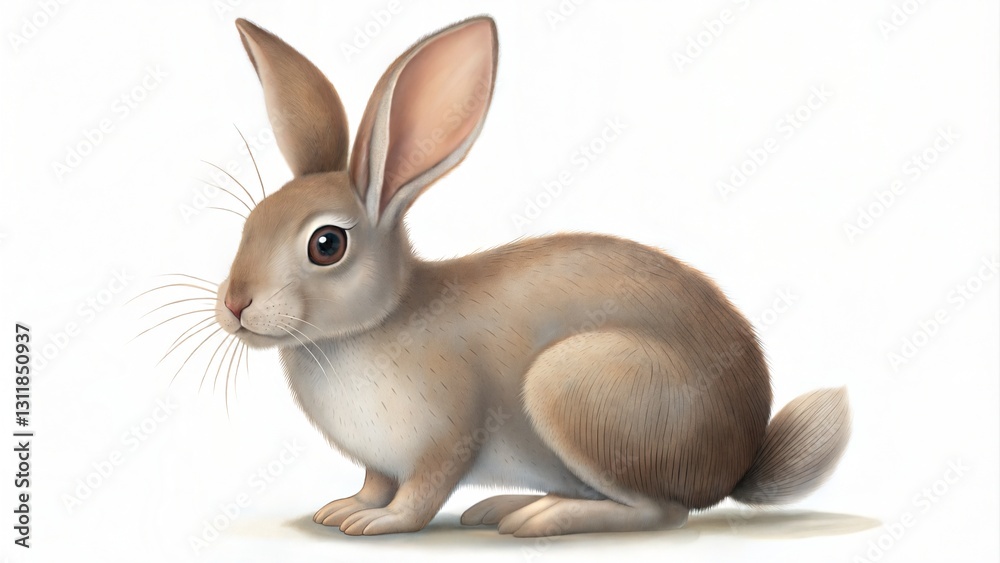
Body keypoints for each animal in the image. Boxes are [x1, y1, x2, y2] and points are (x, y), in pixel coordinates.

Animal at [213, 16, 851, 537]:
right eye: (250, 222)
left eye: (327, 245)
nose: (236, 305)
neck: (378, 319)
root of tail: (735, 463)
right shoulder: (380, 461)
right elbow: (375, 480)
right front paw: (344, 508)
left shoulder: (448, 438)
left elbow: (421, 493)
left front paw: (378, 522)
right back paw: (506, 507)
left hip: (576, 387)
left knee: (660, 512)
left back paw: (538, 518)